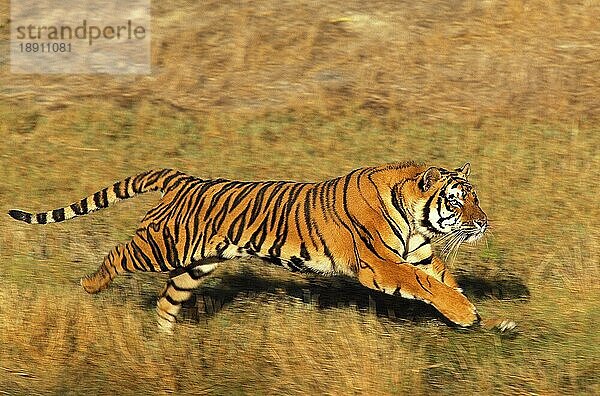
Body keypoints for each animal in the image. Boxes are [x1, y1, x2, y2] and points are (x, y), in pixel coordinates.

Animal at [10, 162, 492, 332]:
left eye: (475, 197)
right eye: (457, 200)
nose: (484, 222)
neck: (416, 217)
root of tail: (184, 179)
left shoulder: (419, 255)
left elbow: (443, 279)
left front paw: (479, 312)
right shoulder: (380, 264)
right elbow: (426, 285)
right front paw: (466, 314)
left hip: (195, 266)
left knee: (167, 301)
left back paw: (162, 343)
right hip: (162, 248)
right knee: (117, 254)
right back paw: (90, 285)